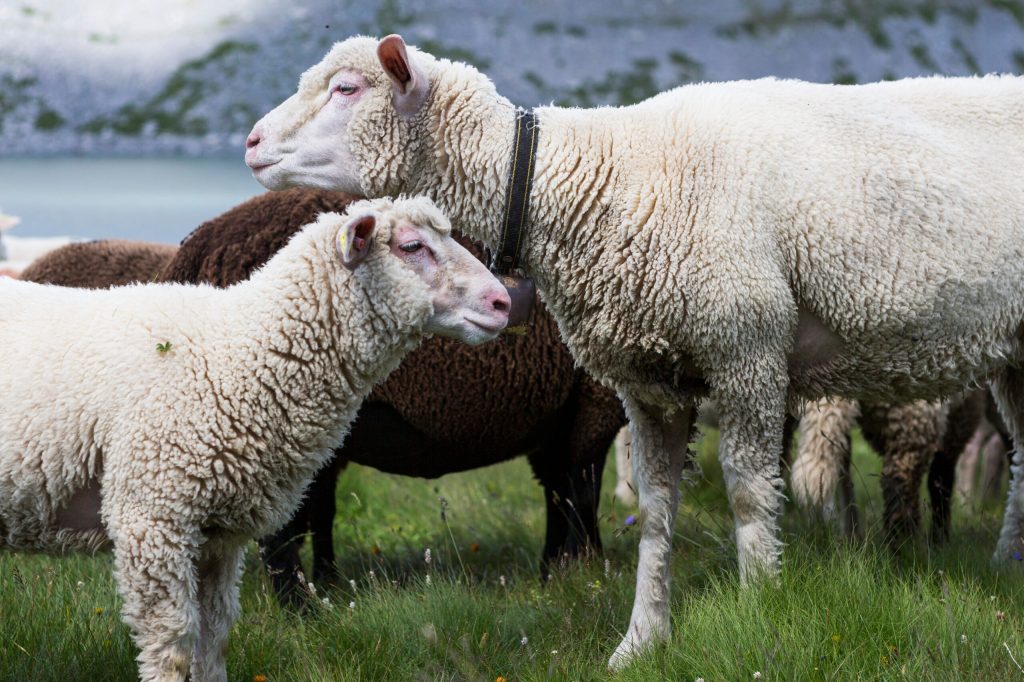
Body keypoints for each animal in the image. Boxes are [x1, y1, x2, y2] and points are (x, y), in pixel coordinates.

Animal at [0, 196, 512, 679]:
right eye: (412, 246)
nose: (503, 302)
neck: (237, 353)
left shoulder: (218, 534)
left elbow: (216, 636)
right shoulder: (152, 514)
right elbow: (173, 644)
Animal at [158, 187, 622, 602]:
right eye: (413, 247)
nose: (502, 301)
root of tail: (197, 246)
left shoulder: (555, 421)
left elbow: (560, 498)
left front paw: (553, 576)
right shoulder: (593, 407)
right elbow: (581, 498)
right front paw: (586, 576)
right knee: (280, 535)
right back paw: (300, 609)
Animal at [243, 34, 1024, 667]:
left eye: (347, 89)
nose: (249, 142)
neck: (598, 179)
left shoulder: (746, 351)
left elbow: (749, 497)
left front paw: (763, 612)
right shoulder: (649, 382)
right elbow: (652, 510)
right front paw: (640, 643)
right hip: (1016, 352)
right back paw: (1009, 565)